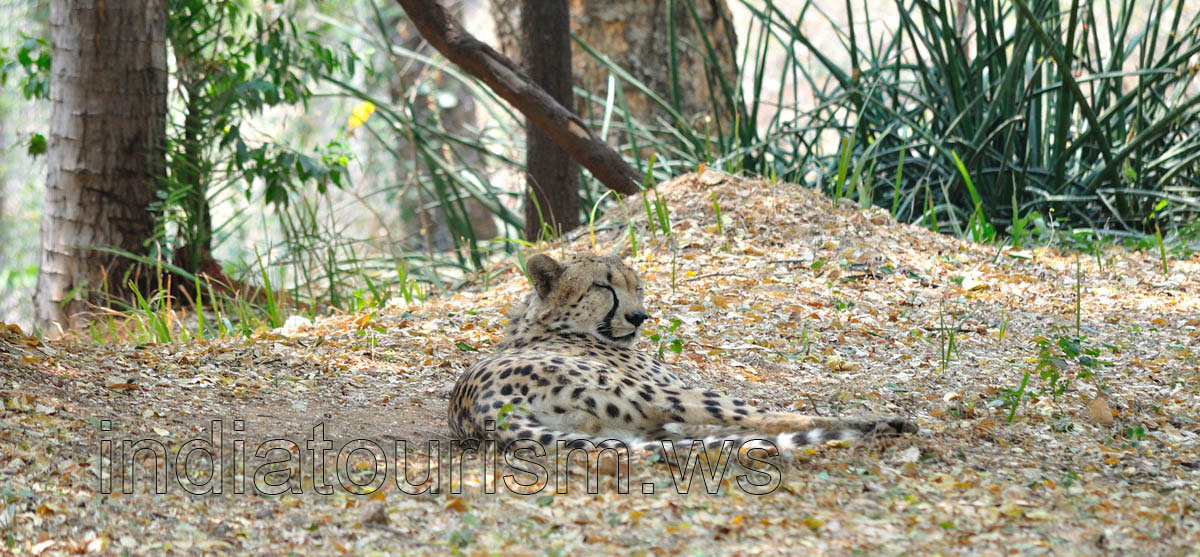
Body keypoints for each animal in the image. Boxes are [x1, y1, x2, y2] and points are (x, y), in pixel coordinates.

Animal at [448, 253, 917, 454]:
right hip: (667, 396)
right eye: (603, 286)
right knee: (773, 419)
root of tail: (482, 408)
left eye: (637, 286)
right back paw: (883, 423)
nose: (639, 316)